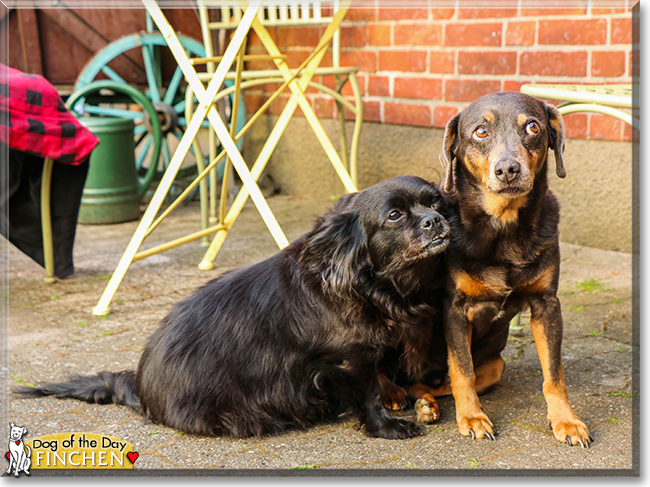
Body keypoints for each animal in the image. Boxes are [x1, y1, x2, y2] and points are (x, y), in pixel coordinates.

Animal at [17, 177, 448, 440]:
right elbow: (370, 393)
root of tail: (140, 387)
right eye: (394, 215)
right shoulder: (350, 360)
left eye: (435, 202)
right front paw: (388, 426)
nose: (436, 220)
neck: (365, 283)